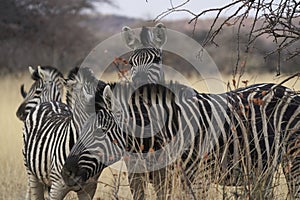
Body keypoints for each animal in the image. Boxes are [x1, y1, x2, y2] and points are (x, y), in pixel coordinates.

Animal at [60, 81, 300, 198]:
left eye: (100, 132)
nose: (66, 173)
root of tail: (286, 88)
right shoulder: (161, 180)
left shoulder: (199, 177)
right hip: (264, 166)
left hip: (293, 159)